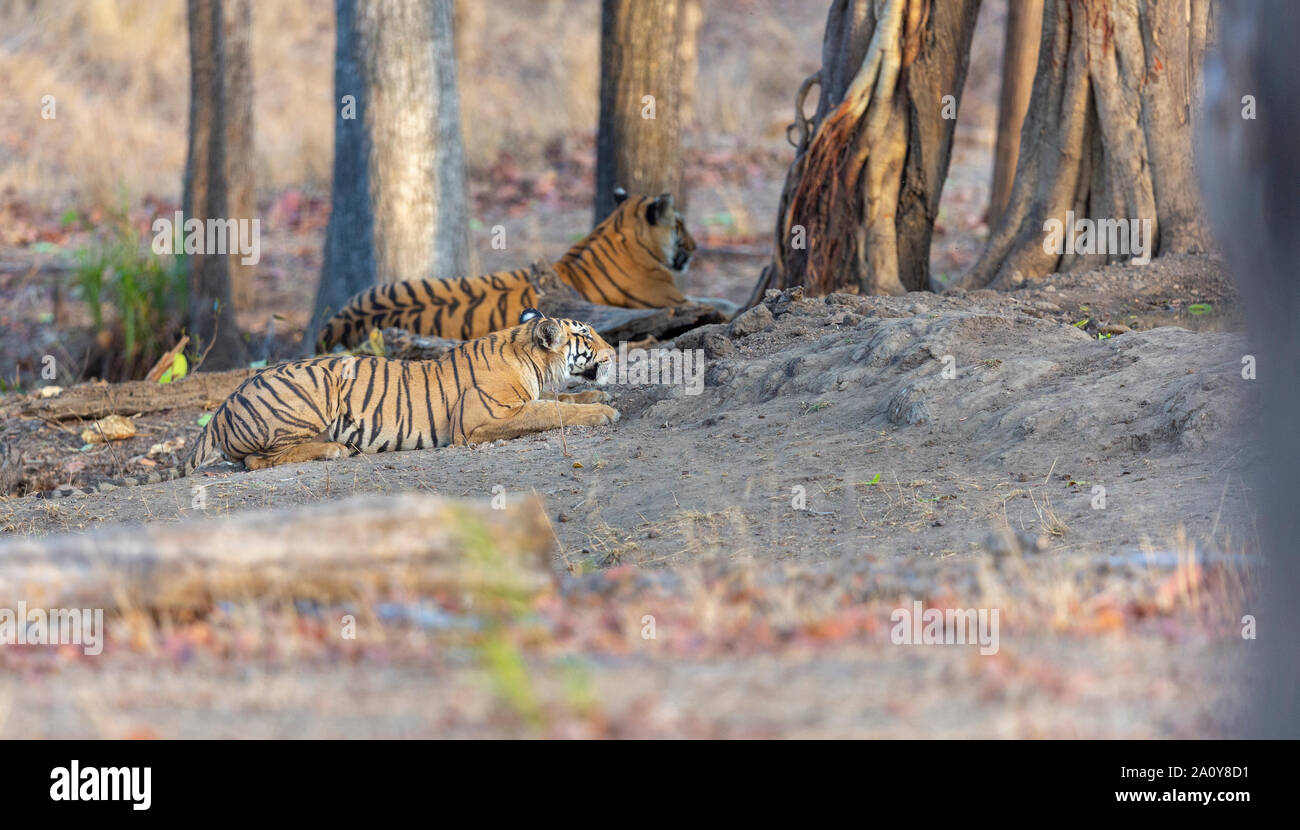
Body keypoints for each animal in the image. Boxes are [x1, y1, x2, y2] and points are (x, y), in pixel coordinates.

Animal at [35, 309, 613, 496]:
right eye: (586, 333)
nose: (613, 351)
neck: (528, 357)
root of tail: (220, 408)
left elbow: (566, 398)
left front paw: (600, 393)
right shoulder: (481, 421)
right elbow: (555, 409)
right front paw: (604, 409)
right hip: (310, 392)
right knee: (256, 460)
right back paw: (335, 449)